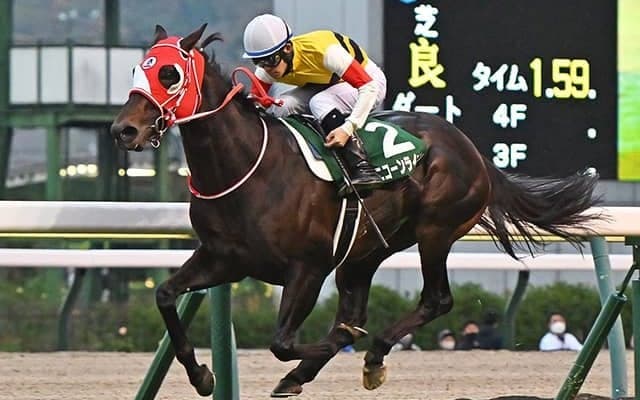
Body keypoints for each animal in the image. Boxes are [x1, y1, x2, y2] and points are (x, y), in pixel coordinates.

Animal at [110, 24, 601, 397]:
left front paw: (327, 350)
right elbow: (165, 295)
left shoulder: (307, 268)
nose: (123, 130)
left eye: (170, 73)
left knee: (434, 300)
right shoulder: (223, 258)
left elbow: (283, 342)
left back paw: (370, 352)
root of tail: (473, 150)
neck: (248, 167)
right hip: (365, 250)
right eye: (136, 69)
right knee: (360, 309)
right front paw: (202, 375)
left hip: (435, 230)